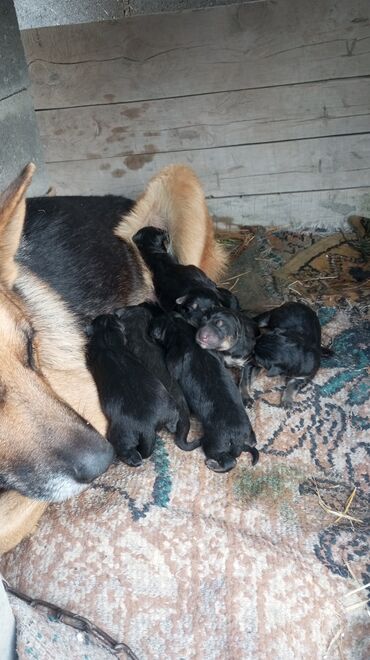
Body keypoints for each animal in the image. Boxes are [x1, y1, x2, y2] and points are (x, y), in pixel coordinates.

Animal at [86, 314, 195, 464]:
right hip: (170, 407)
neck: (107, 336)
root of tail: (148, 427)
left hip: (120, 435)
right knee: (174, 418)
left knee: (127, 451)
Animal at [149, 314, 258, 472]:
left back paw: (213, 465)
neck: (180, 329)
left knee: (230, 462)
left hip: (214, 444)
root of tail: (238, 438)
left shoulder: (173, 357)